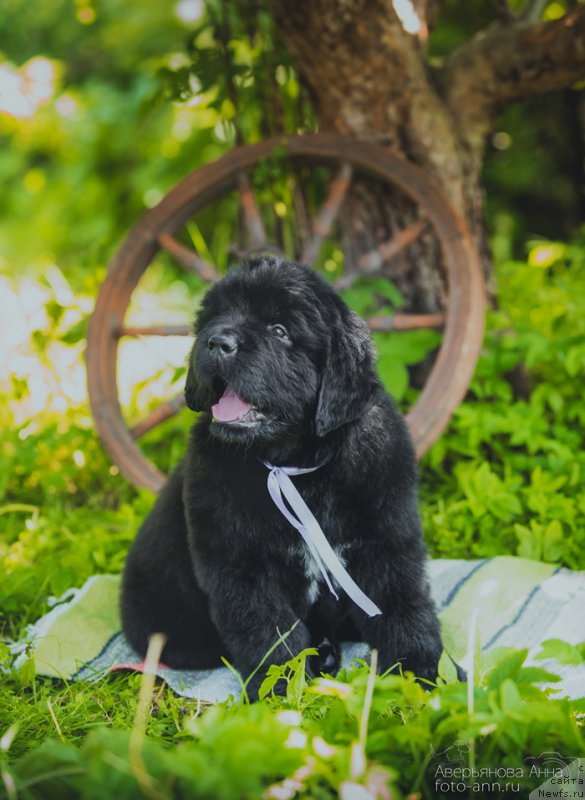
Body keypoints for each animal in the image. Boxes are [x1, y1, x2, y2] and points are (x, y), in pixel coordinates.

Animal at [121, 258, 444, 692]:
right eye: (215, 317)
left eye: (280, 330)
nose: (216, 342)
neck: (296, 468)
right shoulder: (240, 566)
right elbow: (269, 633)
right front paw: (281, 693)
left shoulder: (386, 543)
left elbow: (404, 608)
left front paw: (422, 675)